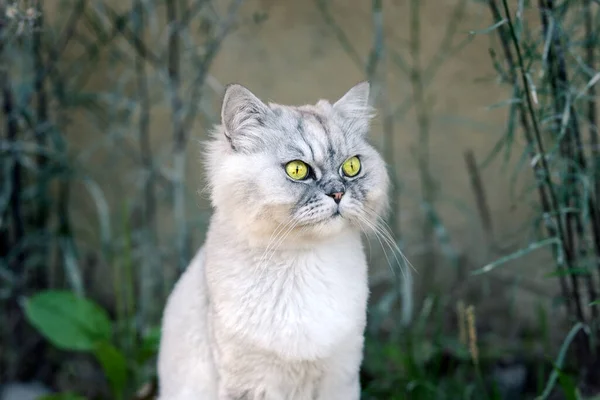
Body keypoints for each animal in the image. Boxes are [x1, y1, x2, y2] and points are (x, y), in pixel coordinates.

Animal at [157, 82, 390, 400]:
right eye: (297, 170)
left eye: (352, 167)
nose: (338, 193)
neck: (301, 259)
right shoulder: (249, 384)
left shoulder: (342, 375)